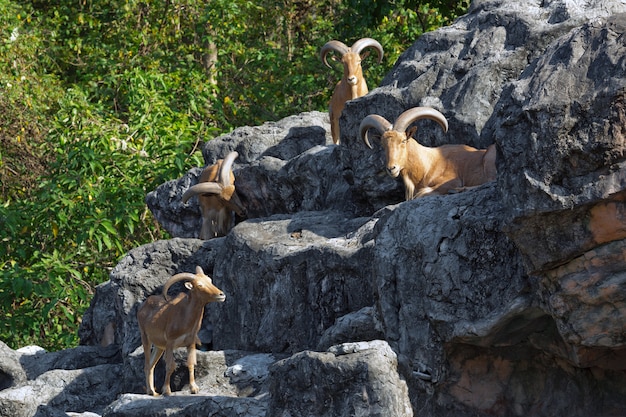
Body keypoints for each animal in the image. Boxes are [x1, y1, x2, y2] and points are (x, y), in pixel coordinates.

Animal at [137, 264, 227, 394]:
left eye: (210, 280)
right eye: (199, 285)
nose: (221, 295)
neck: (185, 317)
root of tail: (142, 307)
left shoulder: (190, 343)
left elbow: (190, 363)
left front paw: (194, 388)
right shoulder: (170, 343)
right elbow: (170, 366)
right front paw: (167, 390)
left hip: (159, 347)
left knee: (152, 365)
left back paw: (154, 392)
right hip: (145, 338)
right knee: (147, 364)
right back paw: (151, 391)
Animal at [358, 105, 494, 200]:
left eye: (403, 140)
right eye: (383, 144)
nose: (392, 168)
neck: (427, 166)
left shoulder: (452, 181)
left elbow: (422, 194)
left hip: (489, 157)